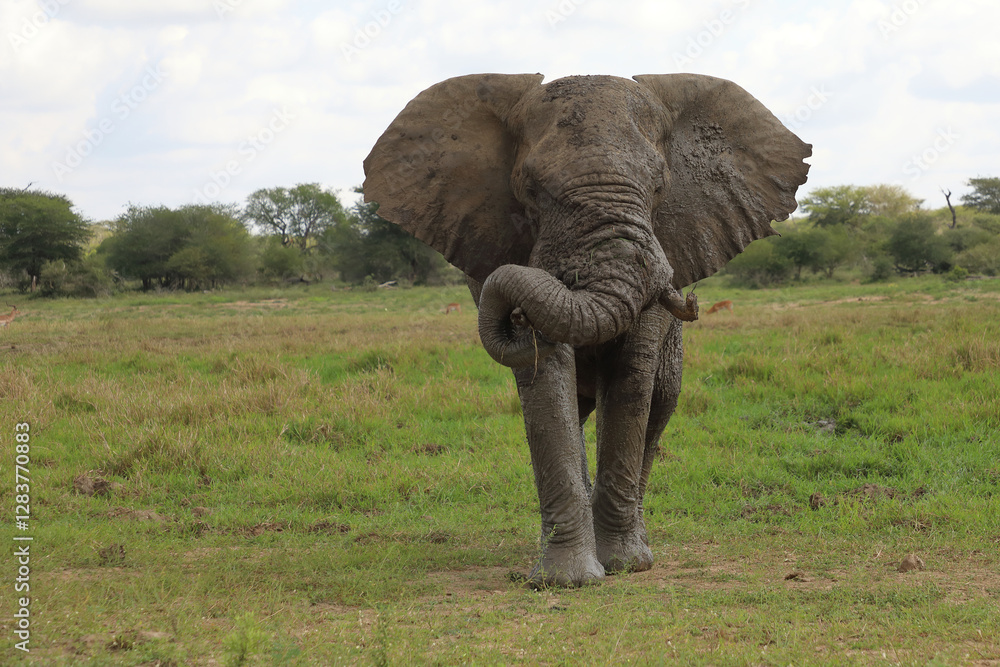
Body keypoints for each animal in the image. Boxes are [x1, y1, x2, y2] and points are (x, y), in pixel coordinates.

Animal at [363, 73, 810, 587]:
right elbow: (546, 376)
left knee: (660, 407)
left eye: (660, 186)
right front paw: (566, 580)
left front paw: (625, 565)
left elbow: (632, 377)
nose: (515, 319)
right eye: (530, 188)